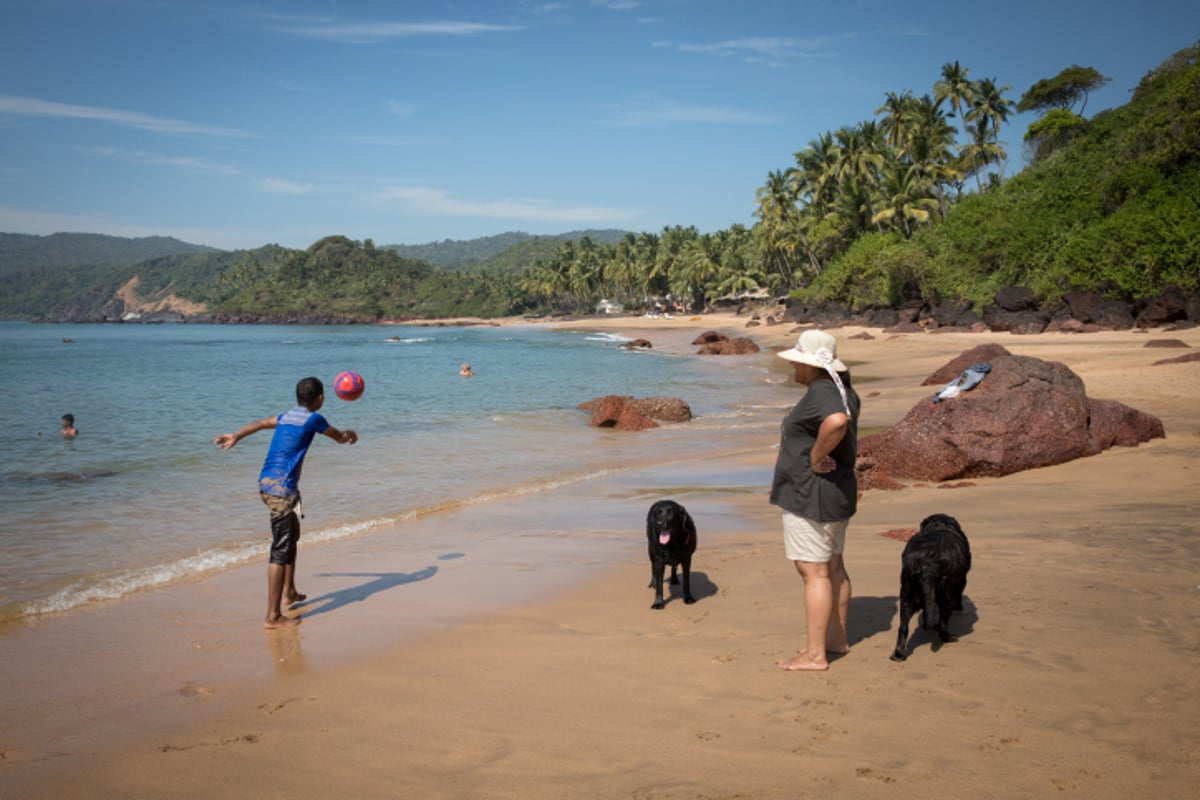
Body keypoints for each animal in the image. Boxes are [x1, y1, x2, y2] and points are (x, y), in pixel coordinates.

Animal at [892, 513, 974, 662]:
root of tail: (927, 564)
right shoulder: (960, 582)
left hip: (907, 596)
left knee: (903, 627)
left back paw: (899, 654)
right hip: (948, 594)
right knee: (941, 624)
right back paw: (948, 637)